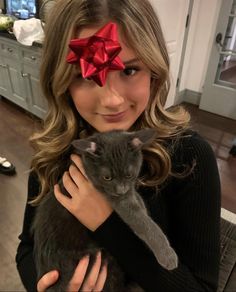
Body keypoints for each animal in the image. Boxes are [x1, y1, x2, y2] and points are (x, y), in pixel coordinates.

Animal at [32, 129, 178, 290]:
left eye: (128, 174)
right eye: (107, 177)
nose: (120, 190)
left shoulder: (129, 192)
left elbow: (141, 206)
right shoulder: (118, 199)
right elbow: (144, 223)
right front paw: (167, 255)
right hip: (100, 259)